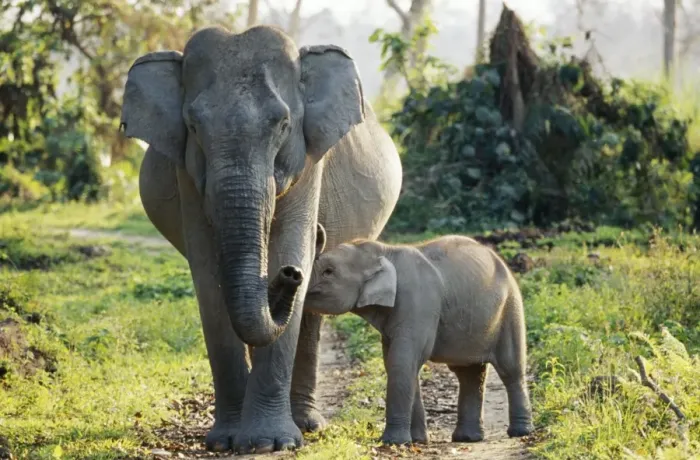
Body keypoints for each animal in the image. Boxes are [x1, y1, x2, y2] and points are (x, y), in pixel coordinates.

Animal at [119, 25, 402, 453]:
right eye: (194, 126)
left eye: (282, 124)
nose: (288, 274)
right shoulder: (187, 172)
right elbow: (208, 275)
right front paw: (225, 442)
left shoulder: (308, 160)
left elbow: (290, 244)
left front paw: (270, 443)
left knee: (311, 313)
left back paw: (306, 424)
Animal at [305, 228, 534, 445]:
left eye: (328, 271)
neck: (385, 251)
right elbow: (398, 362)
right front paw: (416, 440)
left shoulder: (418, 301)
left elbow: (402, 361)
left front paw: (393, 442)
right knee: (468, 373)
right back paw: (468, 438)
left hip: (510, 308)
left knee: (510, 369)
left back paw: (520, 432)